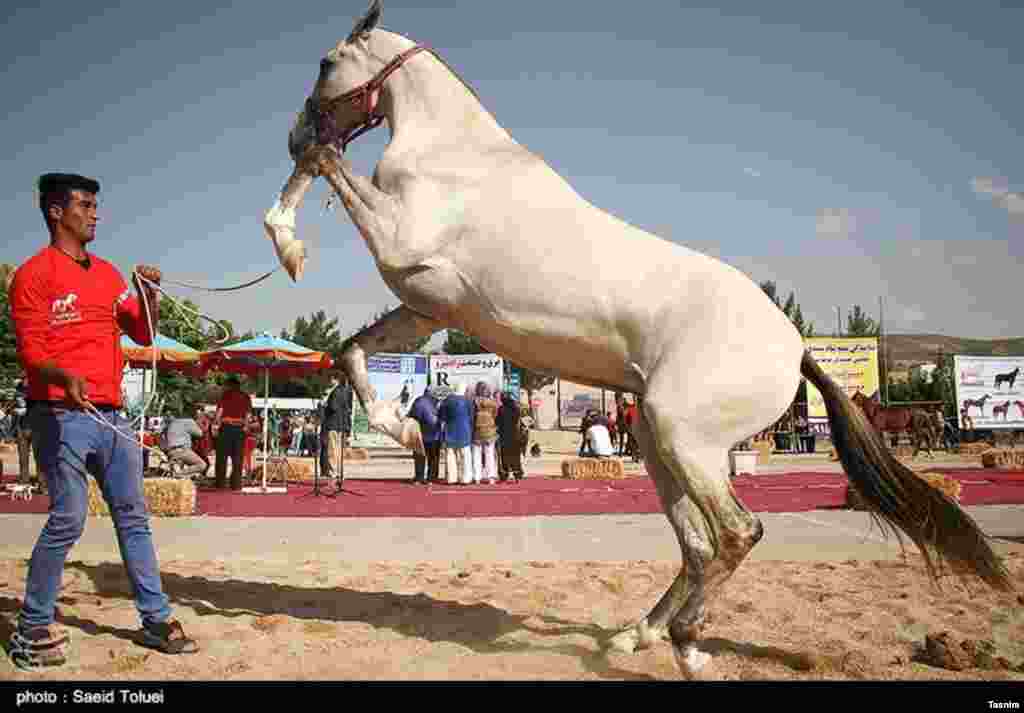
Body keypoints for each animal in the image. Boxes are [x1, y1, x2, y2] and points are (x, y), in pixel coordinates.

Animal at [260, 0, 1011, 680]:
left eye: (327, 62)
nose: (291, 129)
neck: (453, 156)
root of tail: (794, 347)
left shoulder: (405, 251)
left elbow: (327, 165)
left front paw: (291, 237)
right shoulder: (424, 303)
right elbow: (354, 351)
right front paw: (406, 430)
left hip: (683, 434)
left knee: (735, 533)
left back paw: (684, 643)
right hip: (655, 437)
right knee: (699, 545)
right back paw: (637, 635)